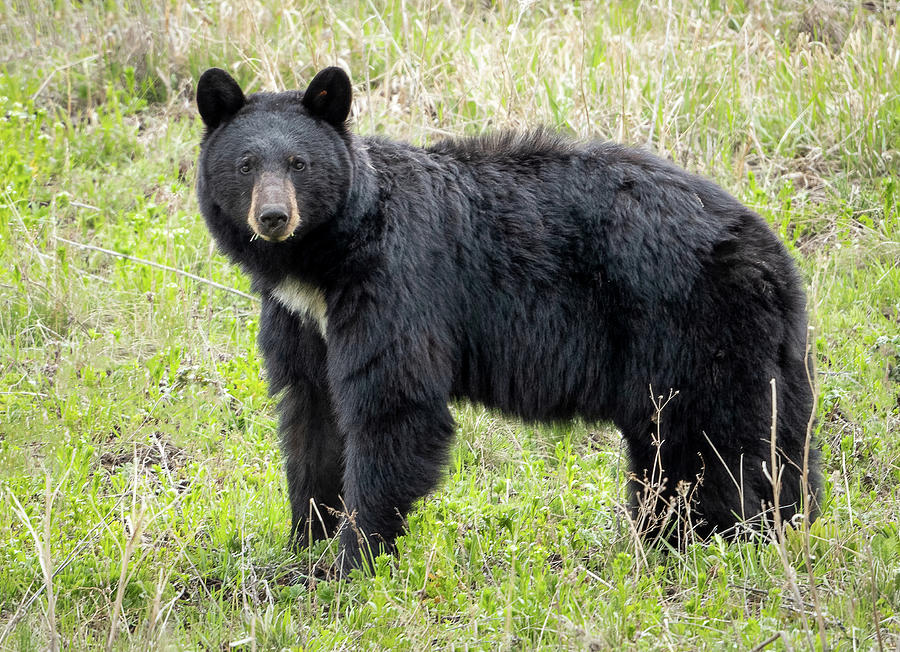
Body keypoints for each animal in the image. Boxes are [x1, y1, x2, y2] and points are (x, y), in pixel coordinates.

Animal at [195, 66, 824, 572]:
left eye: (299, 164)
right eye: (245, 164)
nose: (273, 217)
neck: (323, 261)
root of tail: (773, 253)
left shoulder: (396, 285)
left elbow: (393, 406)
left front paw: (354, 558)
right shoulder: (300, 317)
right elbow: (310, 412)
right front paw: (303, 544)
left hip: (698, 335)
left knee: (727, 444)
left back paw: (731, 539)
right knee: (731, 445)